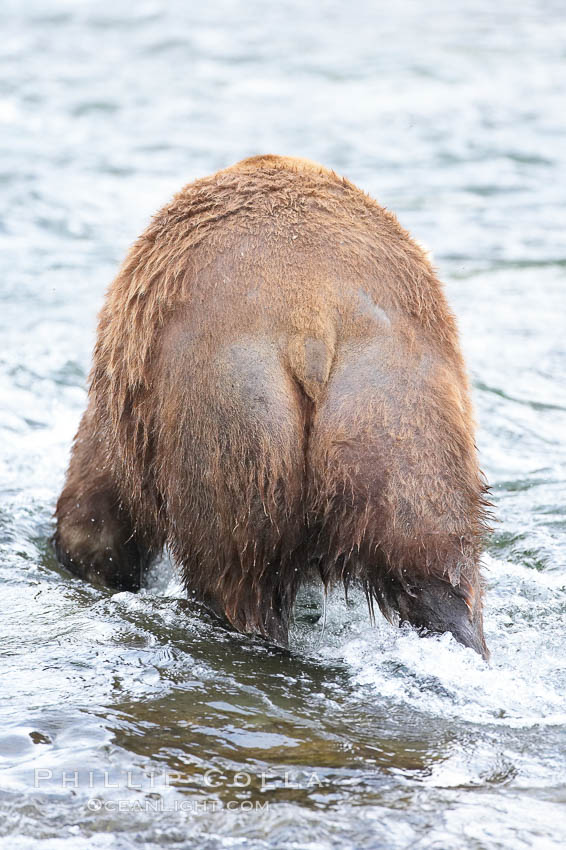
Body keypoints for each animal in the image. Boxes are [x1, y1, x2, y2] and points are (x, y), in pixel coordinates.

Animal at [56, 154, 492, 656]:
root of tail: (312, 320)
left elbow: (96, 507)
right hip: (397, 412)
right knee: (436, 562)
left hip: (230, 412)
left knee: (235, 566)